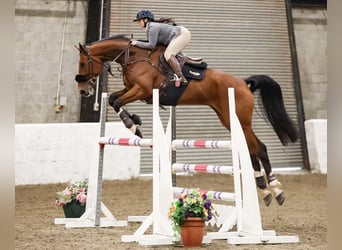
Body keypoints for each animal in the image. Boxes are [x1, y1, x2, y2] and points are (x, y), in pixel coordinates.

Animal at [75, 35, 300, 207]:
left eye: (83, 63)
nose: (83, 91)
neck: (134, 57)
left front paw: (132, 125)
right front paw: (136, 124)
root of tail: (244, 83)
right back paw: (265, 190)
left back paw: (276, 189)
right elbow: (114, 99)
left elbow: (118, 101)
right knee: (250, 149)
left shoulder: (142, 90)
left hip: (239, 120)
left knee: (259, 148)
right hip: (228, 119)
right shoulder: (133, 90)